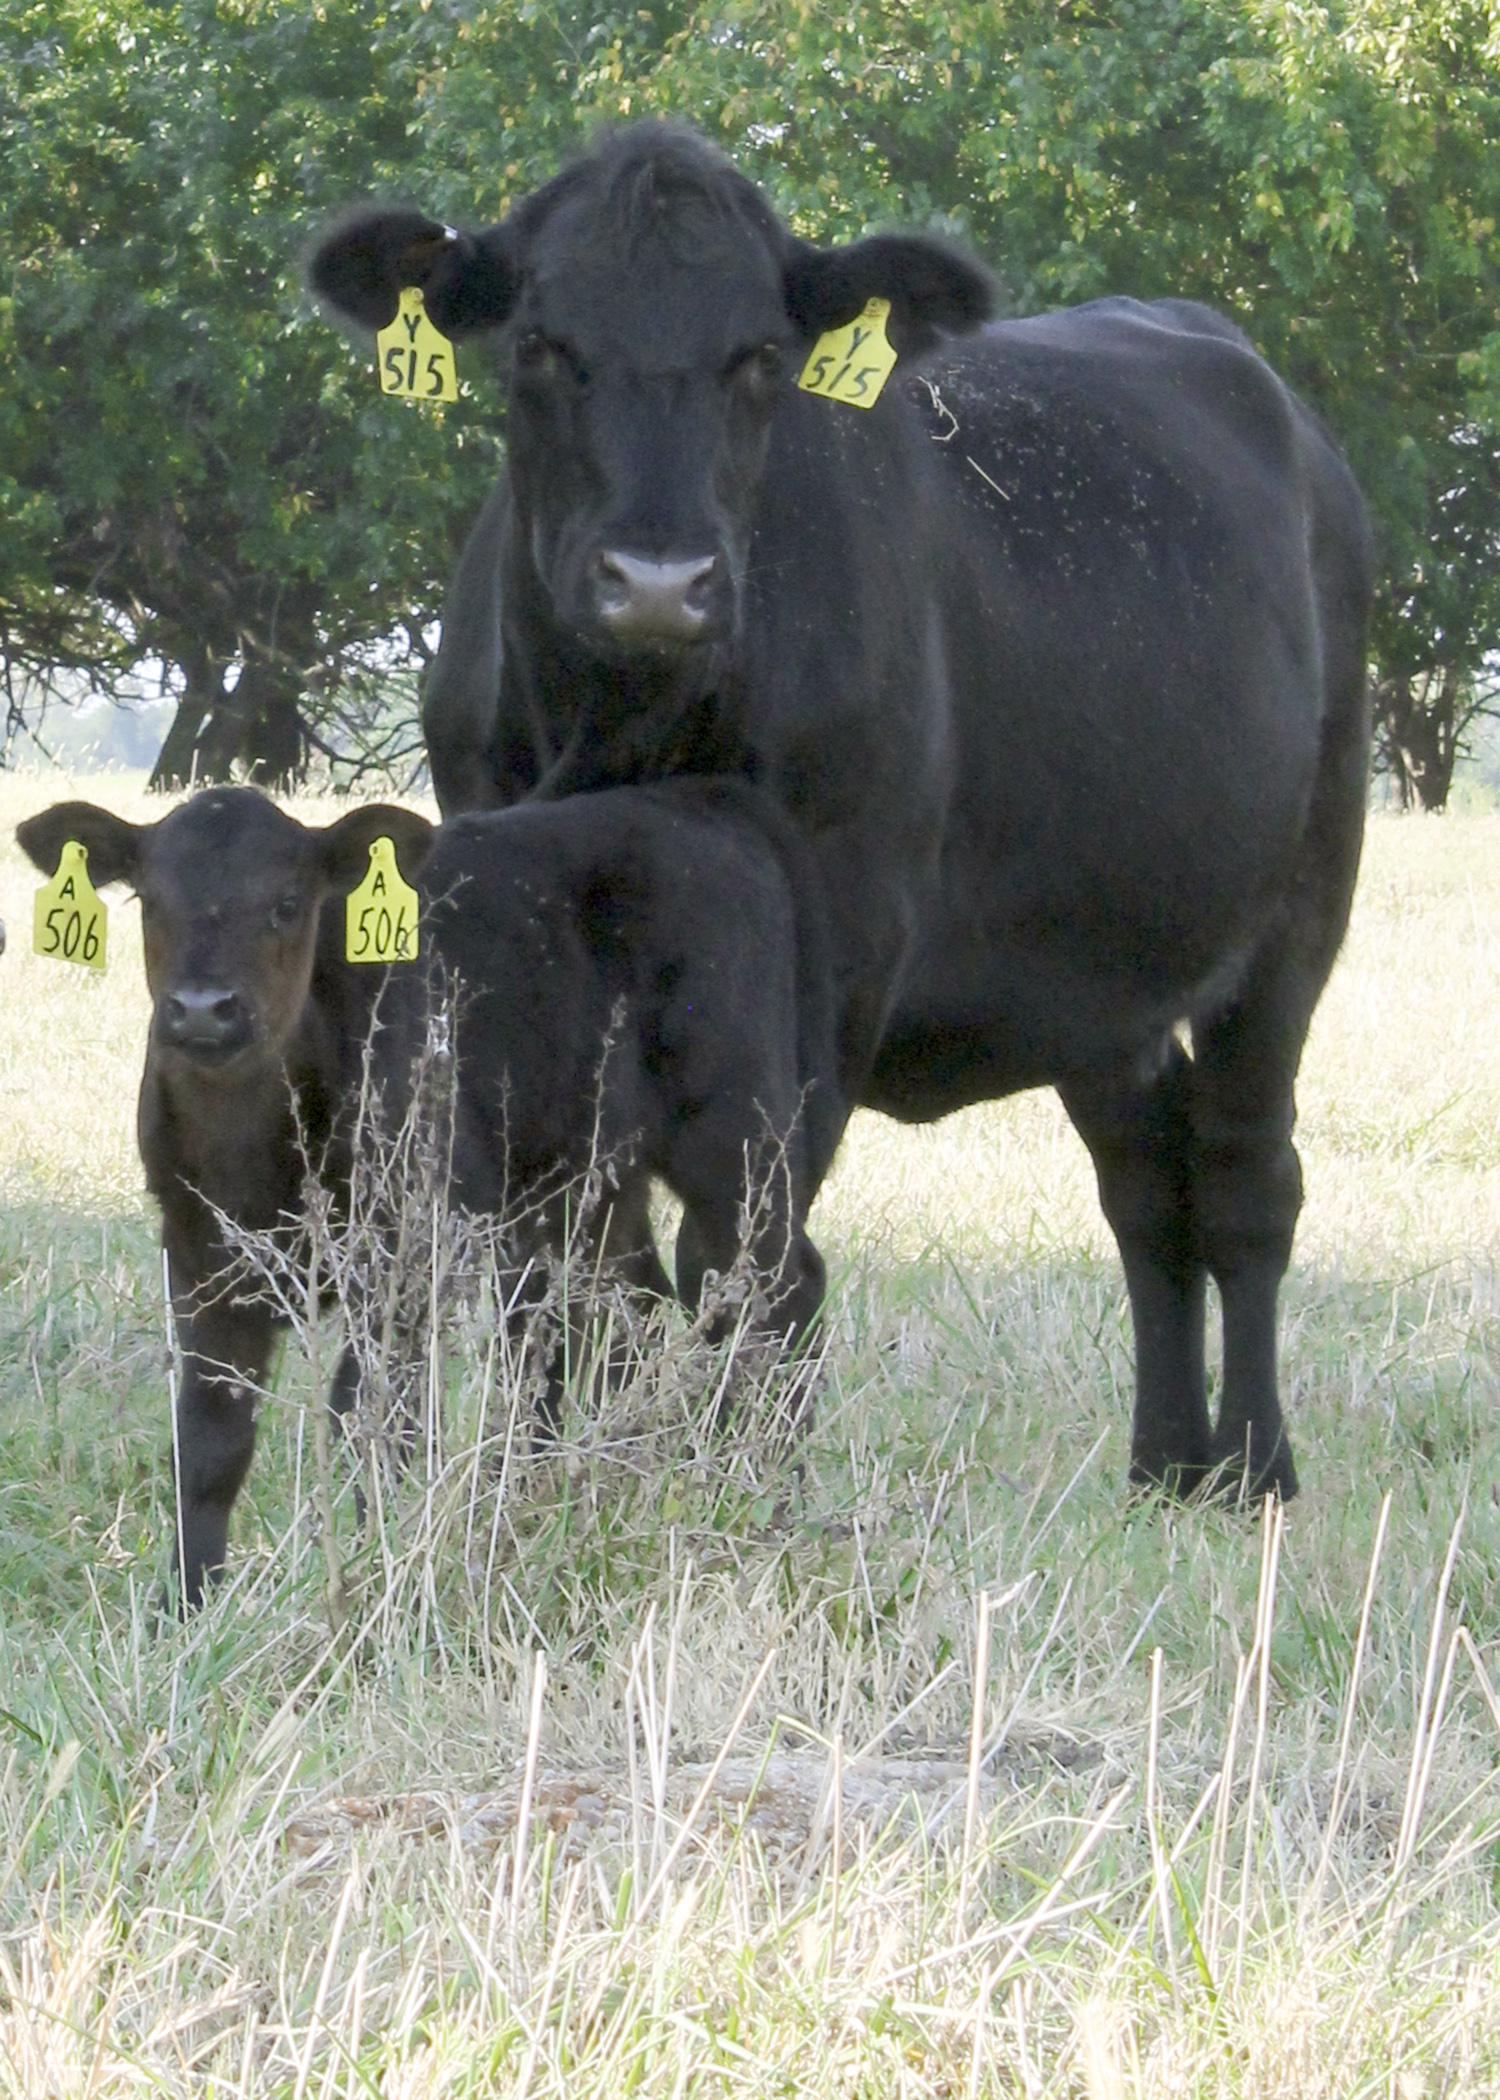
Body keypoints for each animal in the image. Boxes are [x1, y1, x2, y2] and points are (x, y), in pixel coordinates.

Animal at [17, 789, 840, 1604]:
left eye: (287, 902)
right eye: (150, 901)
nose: (200, 1008)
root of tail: (704, 804)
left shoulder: (405, 1254)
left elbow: (372, 1414)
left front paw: (376, 1573)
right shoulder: (197, 1256)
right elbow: (210, 1438)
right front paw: (186, 1605)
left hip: (737, 1138)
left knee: (773, 1294)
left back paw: (765, 1497)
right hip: (583, 1183)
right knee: (622, 1314)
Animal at [308, 122, 1369, 1503]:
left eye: (761, 354)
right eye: (541, 342)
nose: (662, 581)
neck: (623, 728)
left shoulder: (839, 947)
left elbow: (747, 1253)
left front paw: (731, 1489)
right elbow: (577, 1258)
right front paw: (554, 1476)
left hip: (1301, 904)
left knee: (1246, 1177)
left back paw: (1254, 1472)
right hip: (1099, 974)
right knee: (1148, 1185)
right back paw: (1162, 1465)